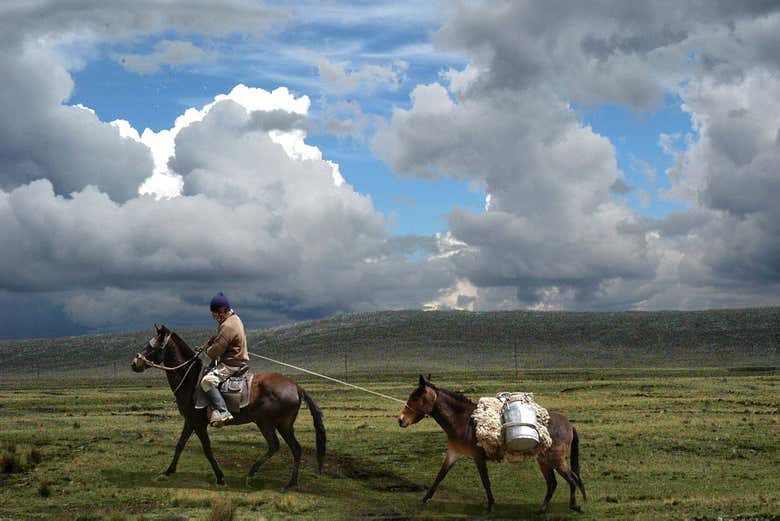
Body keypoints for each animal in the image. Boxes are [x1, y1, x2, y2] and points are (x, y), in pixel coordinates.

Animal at [129, 324, 324, 488]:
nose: (134, 363)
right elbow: (180, 444)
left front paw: (220, 477)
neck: (190, 379)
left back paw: (252, 474)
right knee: (296, 449)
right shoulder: (190, 421)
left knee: (275, 446)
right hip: (284, 425)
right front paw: (169, 471)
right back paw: (291, 482)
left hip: (266, 423)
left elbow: (207, 449)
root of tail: (296, 387)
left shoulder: (198, 424)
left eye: (152, 346)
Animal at [402, 374, 584, 512]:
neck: (462, 421)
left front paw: (489, 506)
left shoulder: (478, 457)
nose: (401, 420)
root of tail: (569, 424)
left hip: (555, 459)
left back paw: (574, 506)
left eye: (416, 397)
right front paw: (424, 499)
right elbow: (439, 476)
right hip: (544, 460)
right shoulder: (453, 453)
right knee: (553, 483)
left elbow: (485, 480)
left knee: (572, 477)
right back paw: (543, 509)